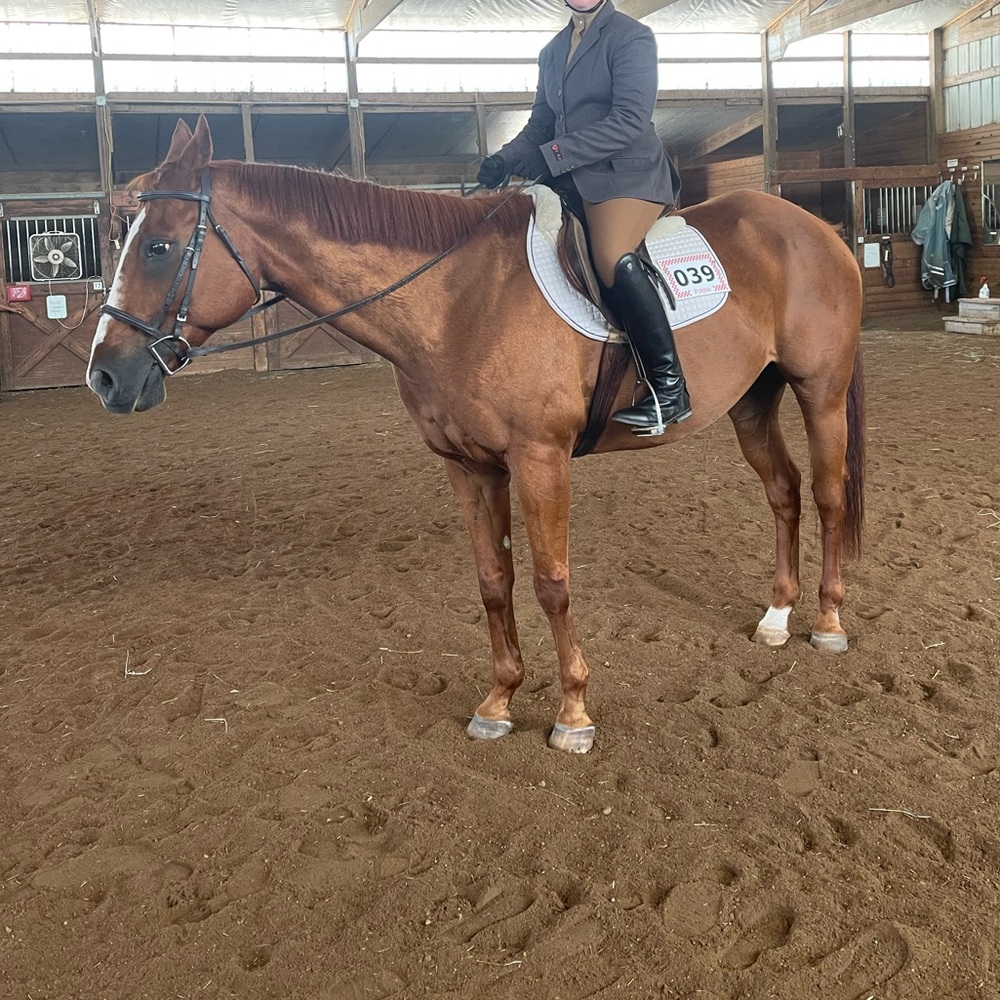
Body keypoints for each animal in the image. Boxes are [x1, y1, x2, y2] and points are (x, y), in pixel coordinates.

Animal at [87, 115, 865, 754]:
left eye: (157, 247)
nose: (104, 376)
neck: (458, 300)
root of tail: (815, 229)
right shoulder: (466, 465)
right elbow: (494, 581)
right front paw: (498, 702)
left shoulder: (540, 459)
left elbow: (552, 582)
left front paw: (573, 715)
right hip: (751, 403)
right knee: (784, 491)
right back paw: (776, 616)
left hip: (819, 391)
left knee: (828, 496)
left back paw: (828, 624)